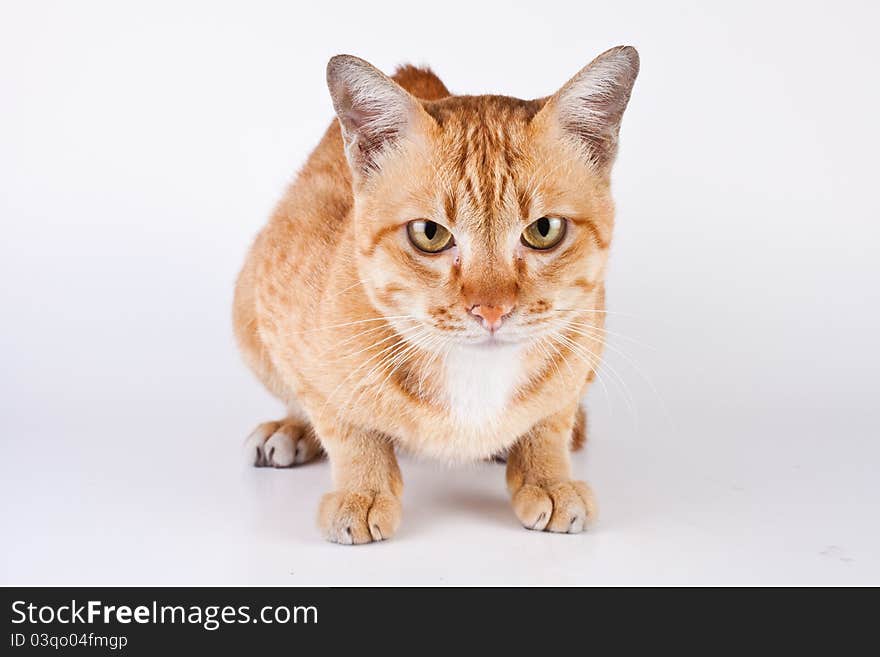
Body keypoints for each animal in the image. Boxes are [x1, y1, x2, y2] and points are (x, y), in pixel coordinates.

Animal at [234, 46, 640, 544]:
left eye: (544, 230)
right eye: (430, 234)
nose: (491, 311)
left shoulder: (584, 345)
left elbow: (551, 421)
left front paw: (546, 476)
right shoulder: (281, 309)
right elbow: (344, 422)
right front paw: (363, 488)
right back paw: (290, 430)